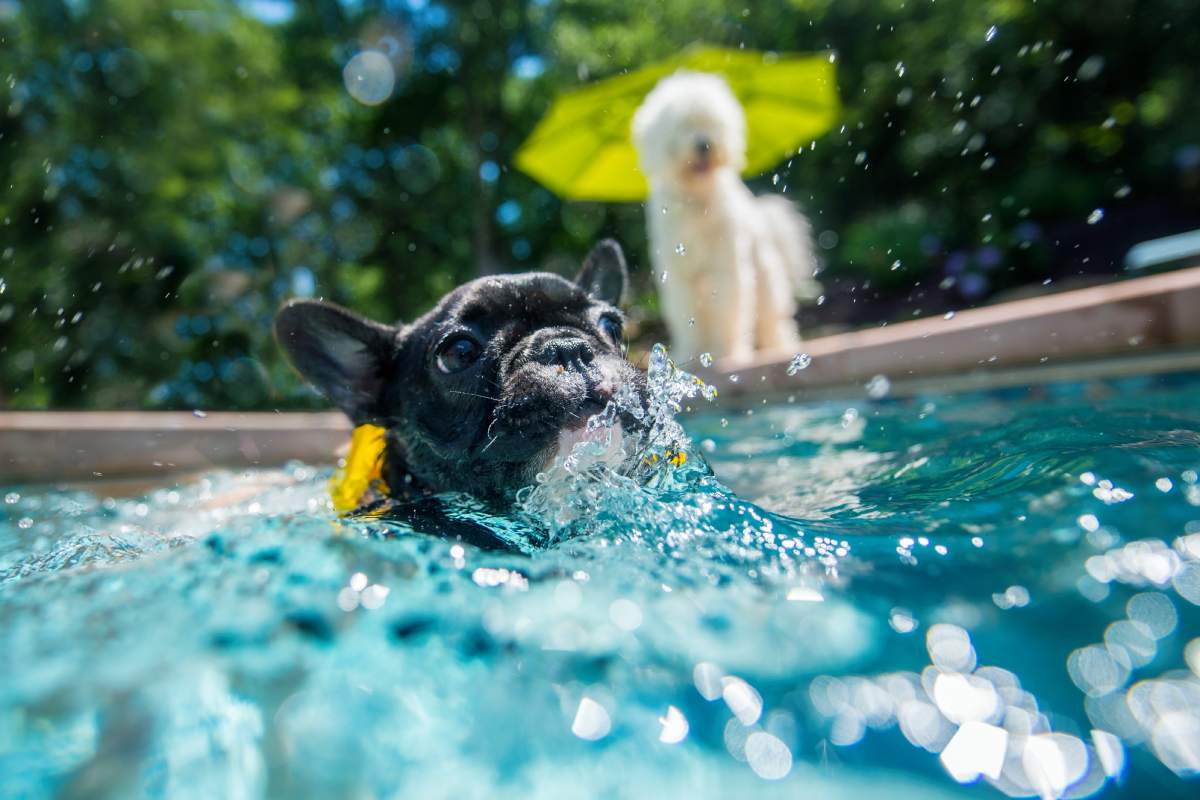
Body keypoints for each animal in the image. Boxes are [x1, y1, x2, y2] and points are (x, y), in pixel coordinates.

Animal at [628, 70, 825, 364]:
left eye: (714, 124)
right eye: (684, 126)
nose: (704, 144)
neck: (697, 202)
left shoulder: (726, 270)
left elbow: (729, 313)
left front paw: (726, 353)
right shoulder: (681, 276)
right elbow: (686, 316)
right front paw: (691, 353)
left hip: (765, 279)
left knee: (772, 318)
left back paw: (780, 347)